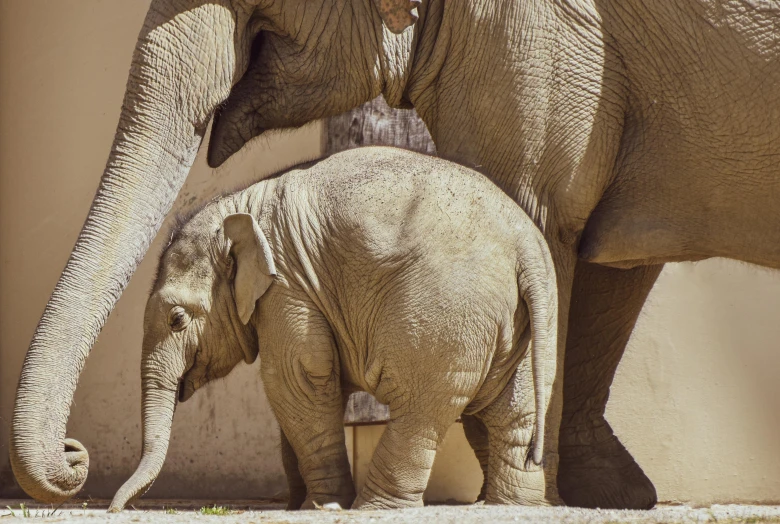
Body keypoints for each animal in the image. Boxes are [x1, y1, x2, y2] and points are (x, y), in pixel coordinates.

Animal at [111, 146, 560, 512]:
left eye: (177, 319)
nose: (118, 508)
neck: (241, 206)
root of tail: (527, 247)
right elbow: (298, 388)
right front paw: (297, 503)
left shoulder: (288, 288)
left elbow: (296, 379)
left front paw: (321, 504)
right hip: (523, 320)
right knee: (511, 409)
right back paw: (510, 504)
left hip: (447, 313)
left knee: (420, 409)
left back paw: (375, 507)